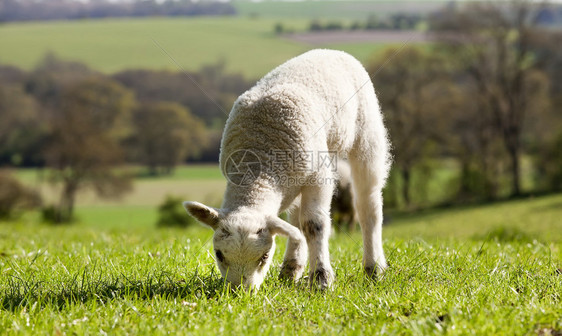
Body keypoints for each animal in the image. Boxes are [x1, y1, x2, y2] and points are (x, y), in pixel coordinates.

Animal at [184, 48, 390, 290]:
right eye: (218, 254)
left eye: (264, 257)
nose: (240, 292)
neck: (258, 166)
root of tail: (331, 51)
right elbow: (297, 226)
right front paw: (300, 270)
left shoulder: (317, 176)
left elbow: (314, 224)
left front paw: (321, 278)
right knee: (295, 218)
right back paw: (291, 268)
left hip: (367, 135)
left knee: (368, 205)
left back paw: (374, 268)